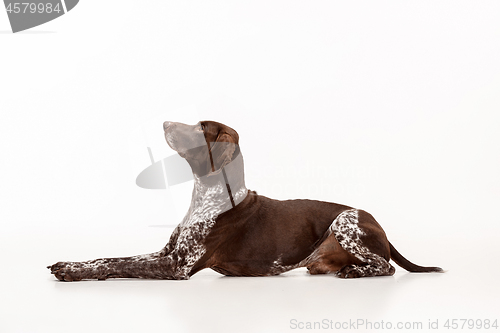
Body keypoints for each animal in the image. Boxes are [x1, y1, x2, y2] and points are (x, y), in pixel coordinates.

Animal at [47, 120, 442, 278]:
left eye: (199, 128)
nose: (165, 123)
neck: (206, 197)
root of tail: (380, 226)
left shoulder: (176, 266)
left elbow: (119, 266)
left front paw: (73, 273)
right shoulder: (166, 254)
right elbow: (110, 257)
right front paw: (72, 264)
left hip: (346, 221)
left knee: (386, 267)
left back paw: (356, 272)